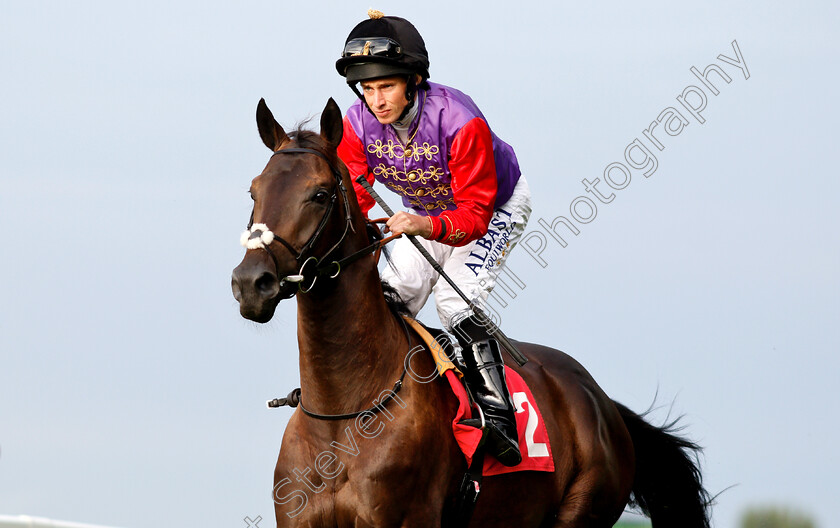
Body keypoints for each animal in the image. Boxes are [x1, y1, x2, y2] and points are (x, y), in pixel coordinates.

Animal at [230, 99, 708, 528]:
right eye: (254, 190)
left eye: (320, 193)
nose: (252, 283)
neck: (341, 418)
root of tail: (602, 402)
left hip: (582, 509)